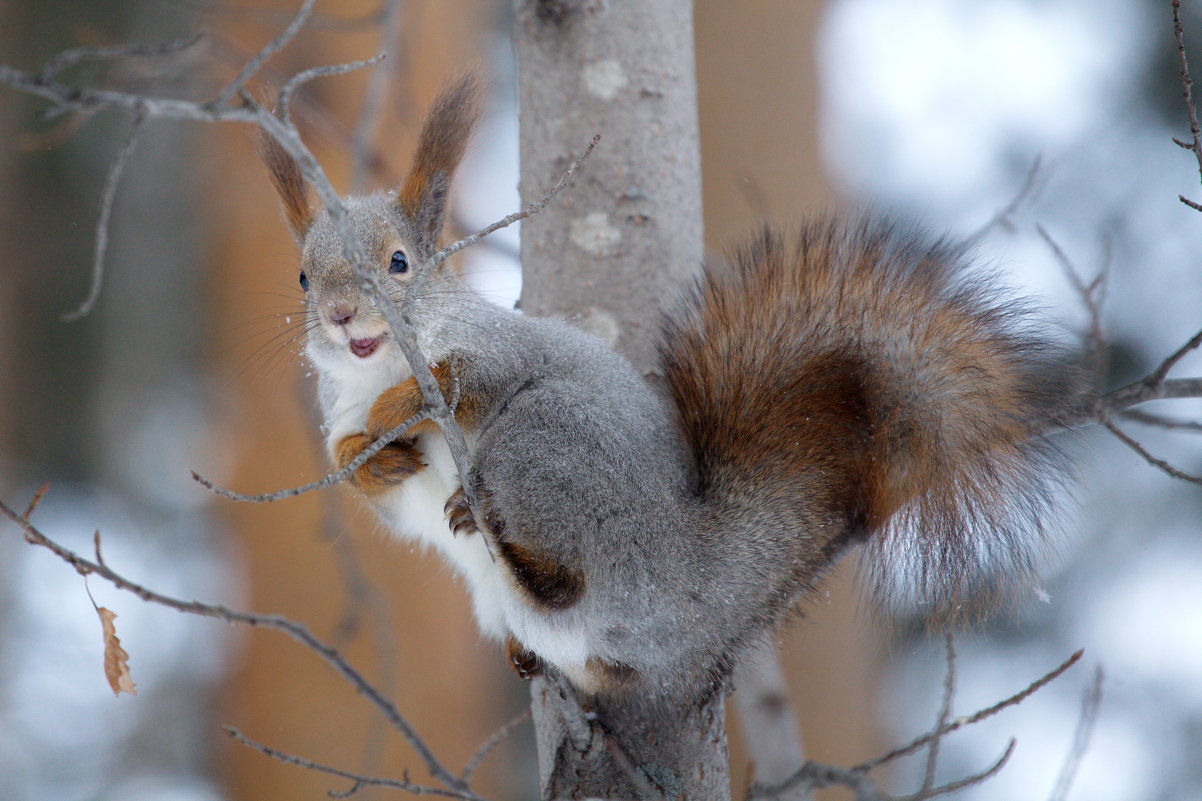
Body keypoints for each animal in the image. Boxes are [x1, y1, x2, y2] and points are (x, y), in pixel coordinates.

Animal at [260, 74, 1072, 697]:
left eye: (399, 263)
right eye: (301, 276)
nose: (340, 315)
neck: (377, 366)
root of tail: (689, 581)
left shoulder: (500, 351)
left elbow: (470, 378)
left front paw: (405, 408)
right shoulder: (340, 409)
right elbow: (360, 470)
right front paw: (368, 460)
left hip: (540, 441)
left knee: (567, 575)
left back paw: (497, 528)